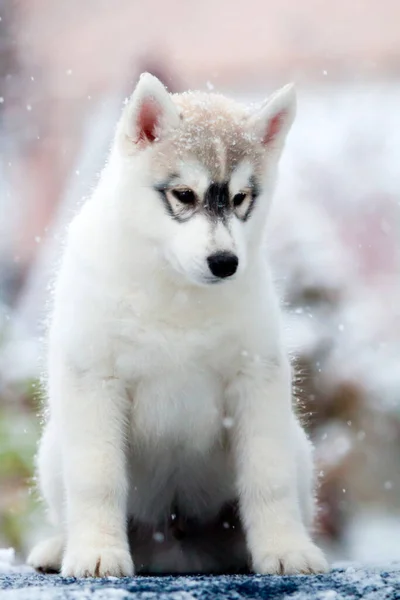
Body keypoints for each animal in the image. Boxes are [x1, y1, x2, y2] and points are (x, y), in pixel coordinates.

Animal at [27, 75, 328, 576]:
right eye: (185, 195)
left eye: (242, 198)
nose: (225, 262)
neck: (177, 294)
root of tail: (175, 547)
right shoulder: (94, 379)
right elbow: (96, 479)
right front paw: (97, 552)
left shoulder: (256, 378)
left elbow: (269, 478)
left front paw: (285, 550)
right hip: (53, 448)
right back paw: (59, 547)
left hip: (297, 444)